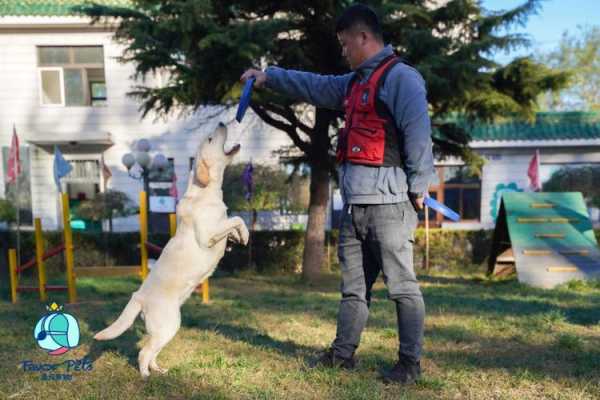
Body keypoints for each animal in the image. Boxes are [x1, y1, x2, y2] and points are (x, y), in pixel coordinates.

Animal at [95, 122, 250, 378]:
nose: (221, 123)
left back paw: (159, 370)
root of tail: (139, 296)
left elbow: (234, 223)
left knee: (152, 352)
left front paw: (238, 237)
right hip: (168, 326)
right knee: (144, 352)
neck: (205, 191)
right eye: (210, 139)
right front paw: (243, 234)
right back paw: (145, 375)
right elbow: (236, 218)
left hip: (169, 327)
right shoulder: (207, 235)